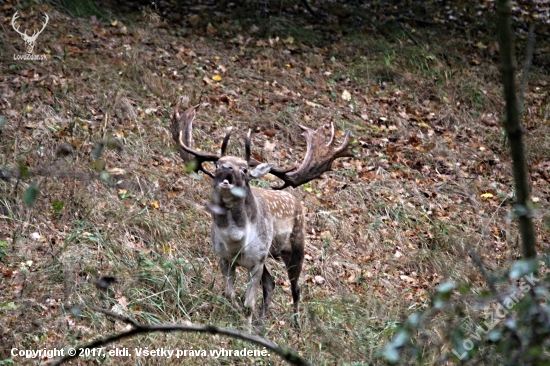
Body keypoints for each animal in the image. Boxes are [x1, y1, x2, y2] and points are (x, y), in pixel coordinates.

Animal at [172, 98, 354, 326]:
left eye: (244, 169)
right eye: (217, 163)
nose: (226, 168)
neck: (235, 240)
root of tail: (297, 201)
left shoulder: (257, 261)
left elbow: (249, 303)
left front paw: (246, 327)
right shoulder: (224, 258)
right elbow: (230, 294)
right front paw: (239, 315)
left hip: (296, 246)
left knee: (296, 287)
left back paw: (296, 324)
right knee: (271, 283)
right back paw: (262, 324)